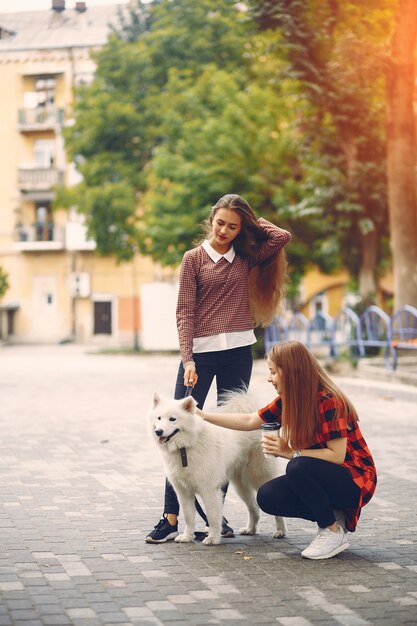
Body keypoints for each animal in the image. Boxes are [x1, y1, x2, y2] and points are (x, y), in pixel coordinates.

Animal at [150, 388, 286, 544]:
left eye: (172, 419)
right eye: (159, 418)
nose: (158, 431)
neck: (185, 447)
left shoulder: (209, 489)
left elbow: (213, 517)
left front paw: (213, 538)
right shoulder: (183, 491)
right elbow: (189, 517)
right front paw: (187, 537)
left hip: (259, 477)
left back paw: (280, 531)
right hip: (241, 486)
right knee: (254, 508)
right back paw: (250, 529)